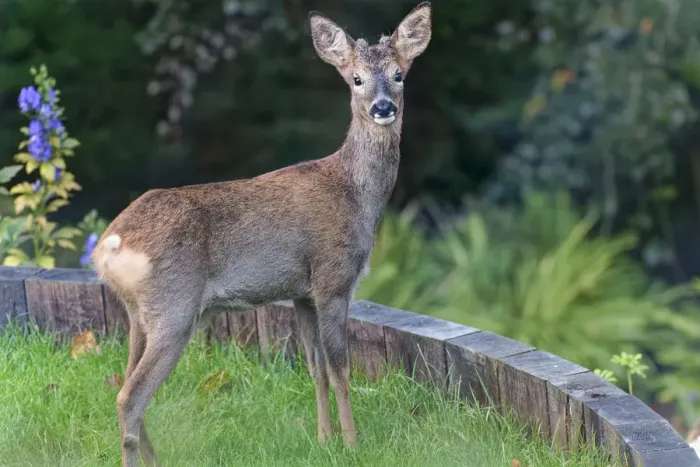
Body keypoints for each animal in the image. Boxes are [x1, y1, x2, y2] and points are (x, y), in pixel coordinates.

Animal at [92, 3, 432, 466]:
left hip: (137, 313)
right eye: (356, 79)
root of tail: (110, 245)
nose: (383, 107)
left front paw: (323, 440)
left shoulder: (302, 293)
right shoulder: (333, 279)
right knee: (131, 396)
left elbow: (315, 368)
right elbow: (341, 368)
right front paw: (352, 444)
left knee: (126, 385)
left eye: (399, 74)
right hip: (174, 305)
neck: (354, 194)